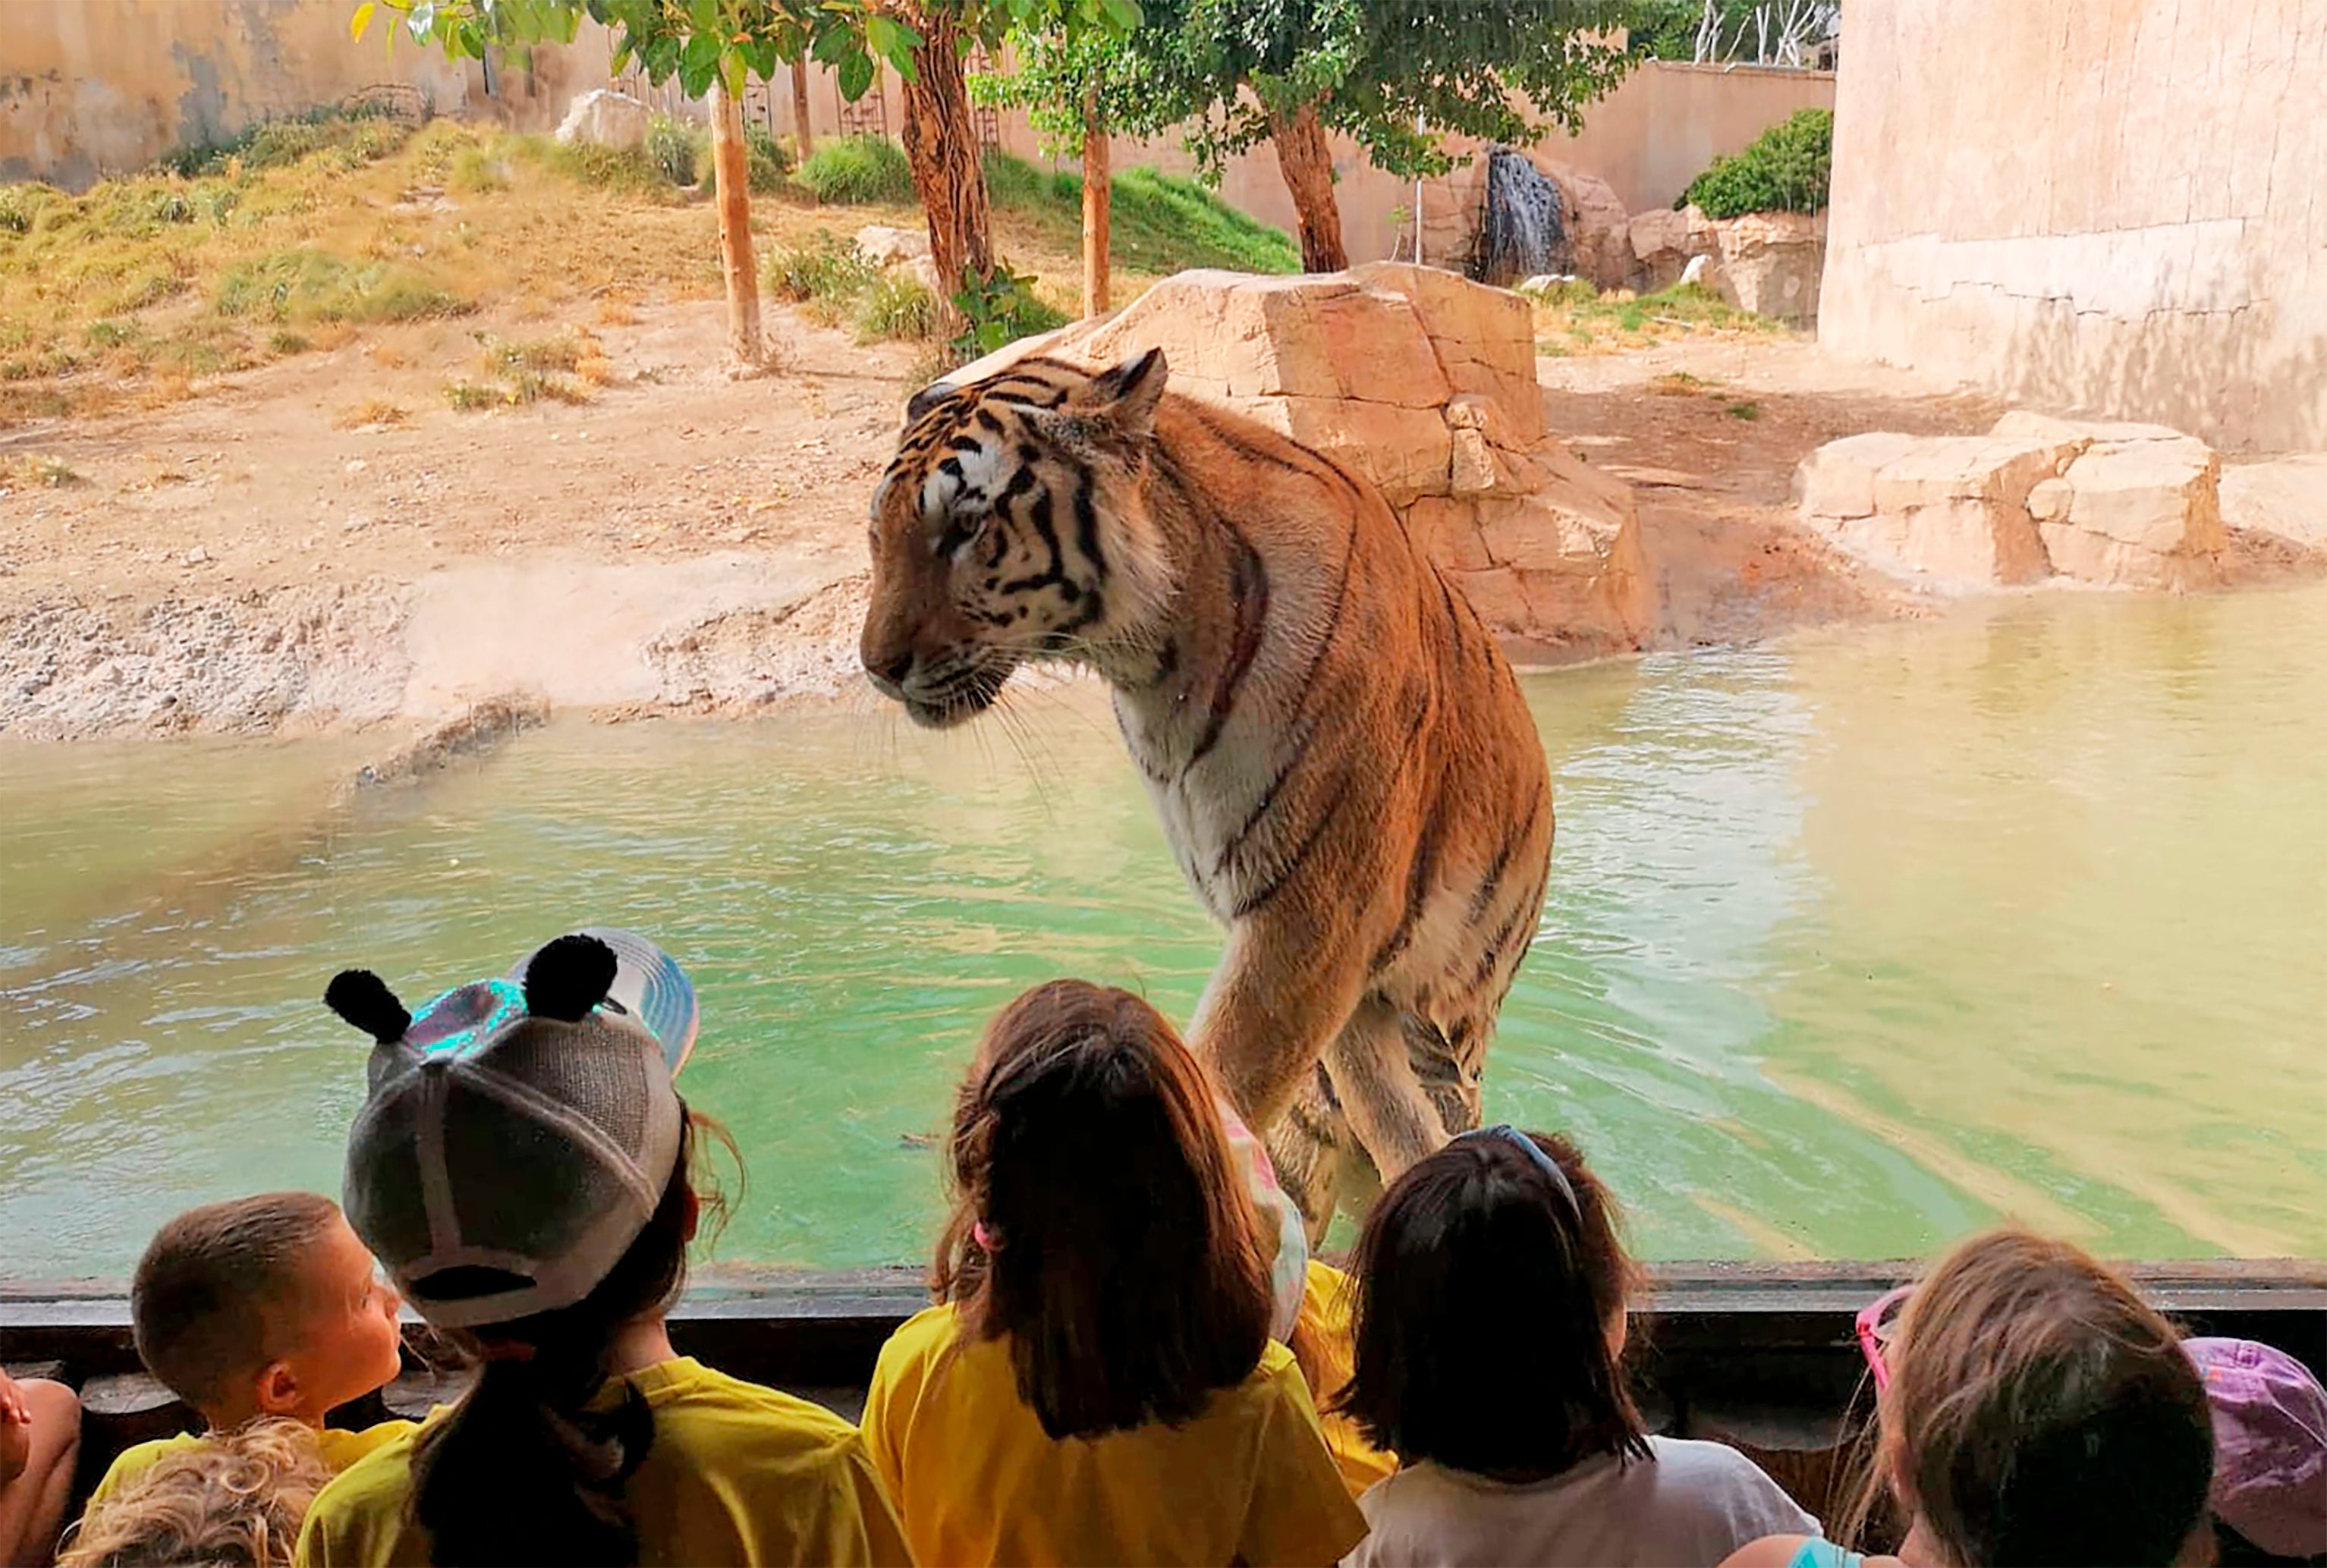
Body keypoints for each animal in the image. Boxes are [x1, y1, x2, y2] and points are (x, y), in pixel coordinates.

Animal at [859, 347, 1555, 1232]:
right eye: (877, 533)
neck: (1152, 662)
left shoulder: (1310, 916)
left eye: (966, 529)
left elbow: (1221, 1076)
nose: (875, 668)